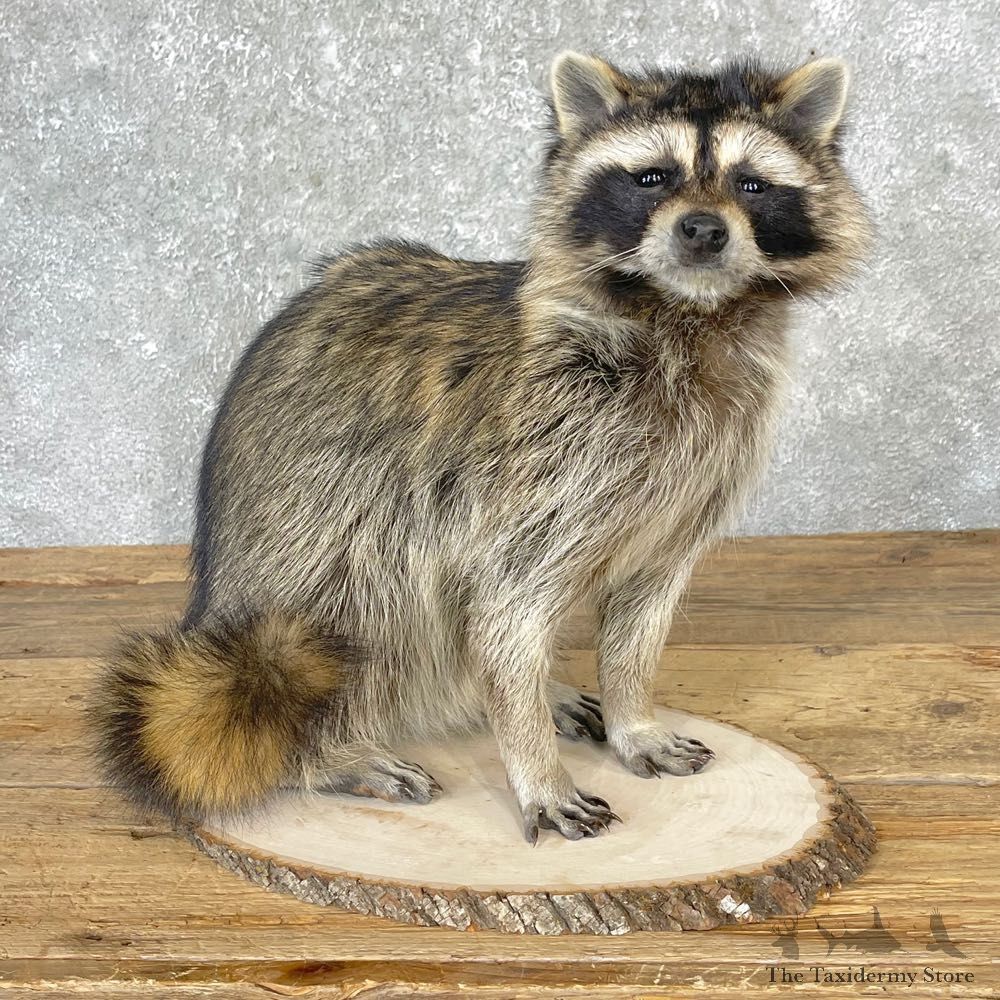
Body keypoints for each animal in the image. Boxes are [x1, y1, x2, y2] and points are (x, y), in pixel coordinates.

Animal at [91, 52, 870, 843]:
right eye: (652, 177)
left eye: (751, 183)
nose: (703, 231)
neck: (686, 311)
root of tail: (214, 599)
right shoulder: (545, 456)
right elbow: (505, 606)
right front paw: (534, 762)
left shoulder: (704, 470)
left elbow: (643, 608)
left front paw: (633, 713)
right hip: (320, 530)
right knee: (363, 612)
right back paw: (335, 748)